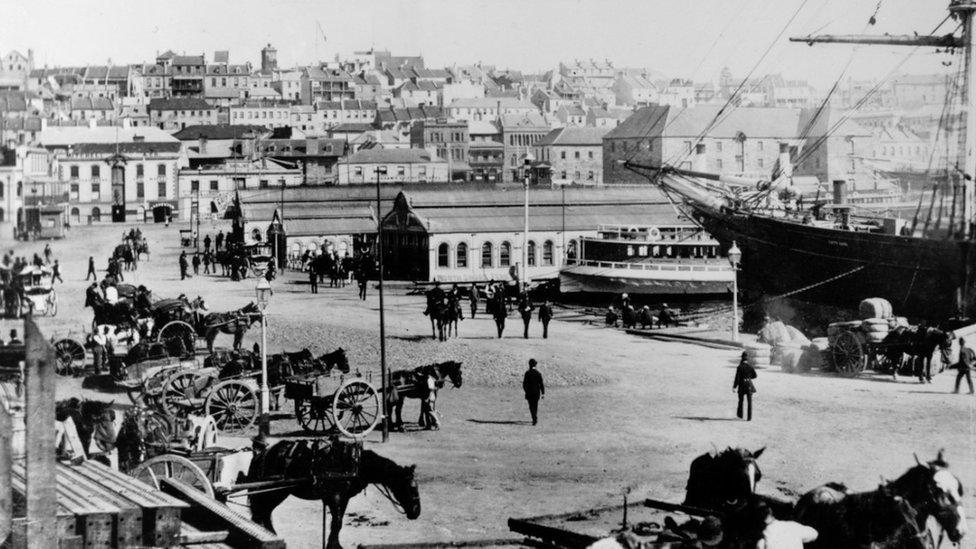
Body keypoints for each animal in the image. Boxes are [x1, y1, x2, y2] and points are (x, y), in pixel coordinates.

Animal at [248, 436, 420, 548]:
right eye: (411, 487)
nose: (416, 512)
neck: (356, 463)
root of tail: (263, 453)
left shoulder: (343, 498)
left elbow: (338, 522)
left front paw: (334, 544)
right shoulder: (334, 496)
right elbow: (336, 522)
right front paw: (333, 546)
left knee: (263, 514)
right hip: (274, 492)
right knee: (261, 513)